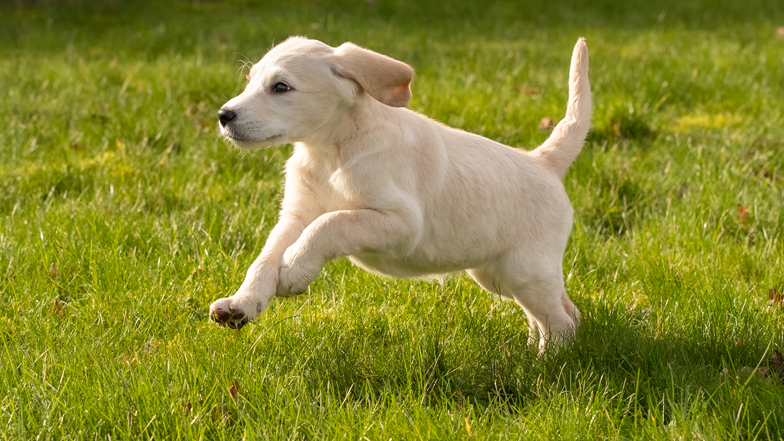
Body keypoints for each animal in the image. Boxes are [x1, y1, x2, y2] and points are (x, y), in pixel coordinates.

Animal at [208, 37, 588, 348]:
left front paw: (296, 270)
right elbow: (264, 259)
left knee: (561, 322)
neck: (332, 153)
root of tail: (543, 161)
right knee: (560, 310)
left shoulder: (401, 224)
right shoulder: (295, 216)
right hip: (497, 275)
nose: (224, 115)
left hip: (525, 270)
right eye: (250, 81)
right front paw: (242, 303)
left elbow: (330, 224)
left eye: (281, 87)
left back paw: (546, 364)